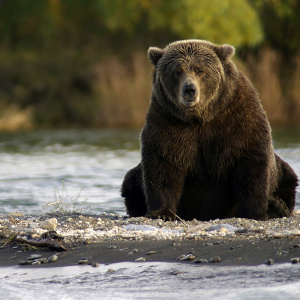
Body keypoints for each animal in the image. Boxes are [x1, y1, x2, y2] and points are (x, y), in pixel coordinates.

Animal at [121, 39, 298, 220]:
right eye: (177, 71)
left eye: (200, 70)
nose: (189, 89)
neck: (201, 117)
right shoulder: (166, 121)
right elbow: (162, 164)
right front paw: (161, 213)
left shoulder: (238, 118)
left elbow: (251, 163)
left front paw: (254, 212)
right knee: (130, 181)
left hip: (281, 173)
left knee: (288, 176)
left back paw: (276, 206)